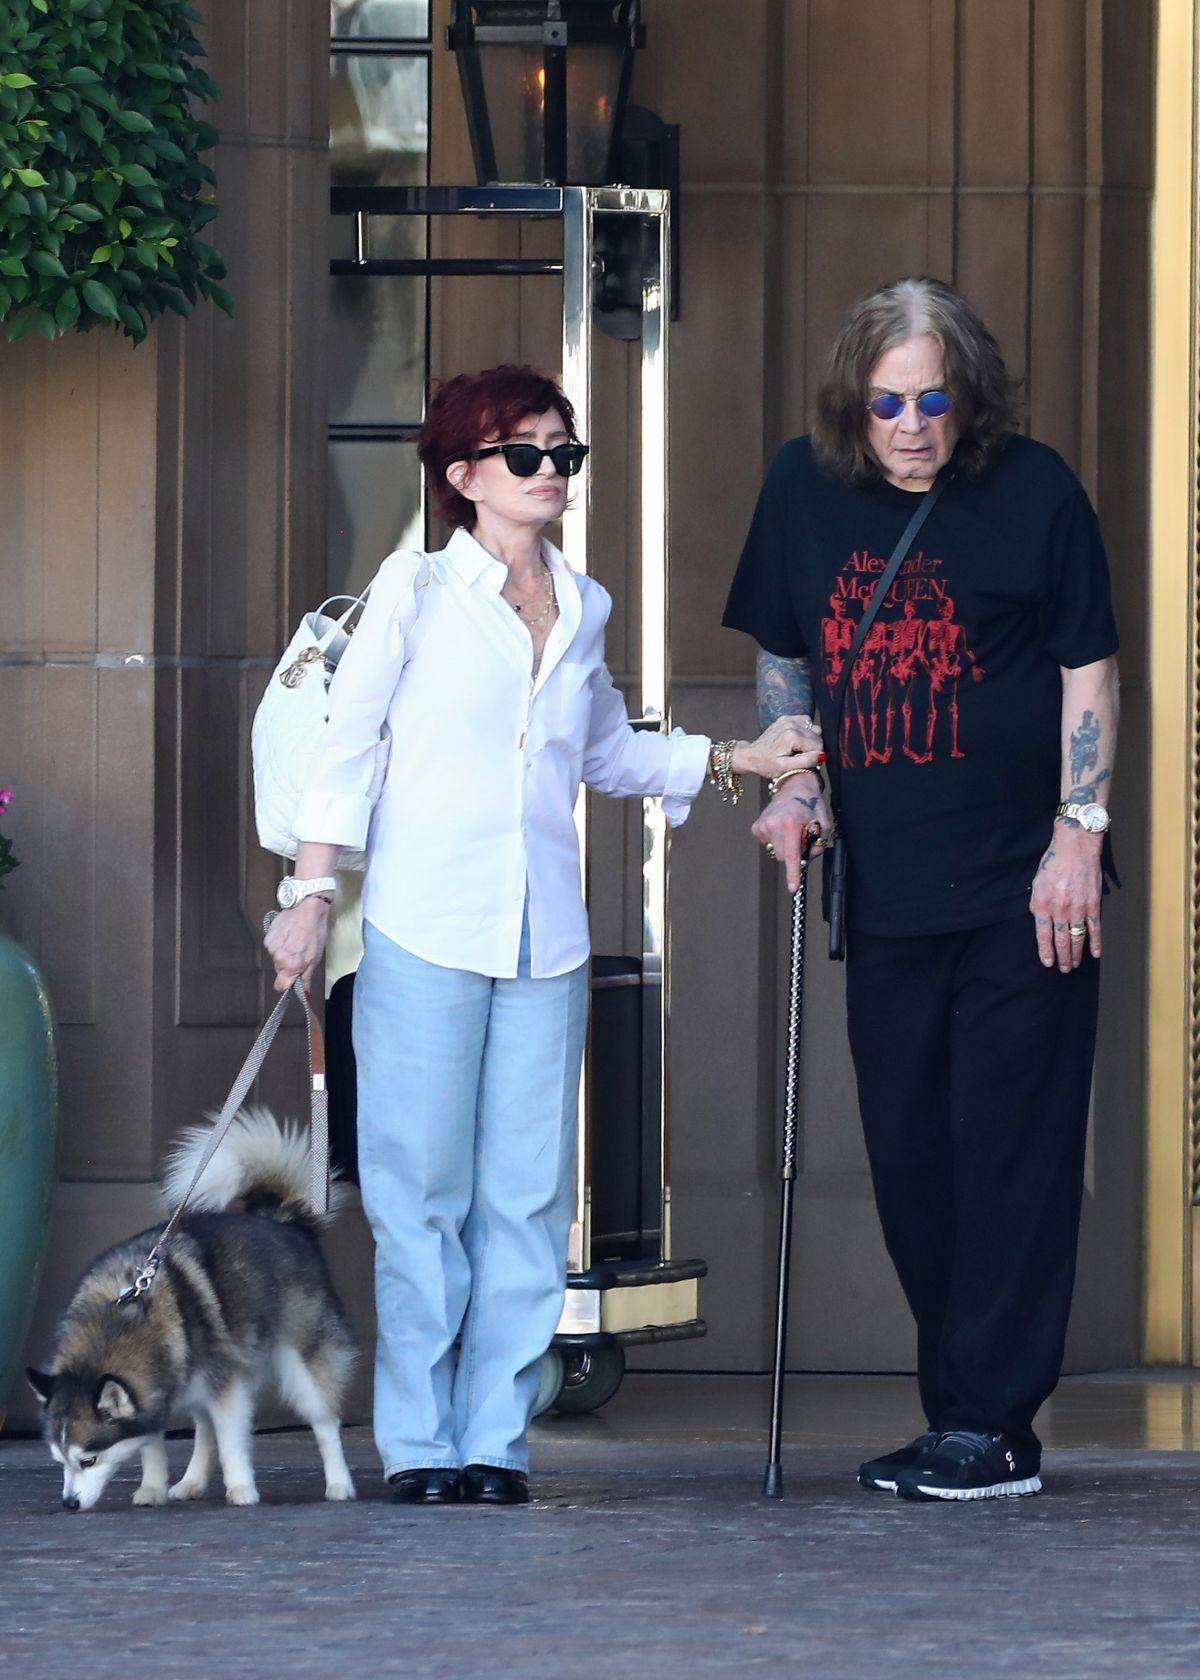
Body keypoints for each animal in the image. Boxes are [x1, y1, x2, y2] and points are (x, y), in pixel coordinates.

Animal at [26, 1108, 354, 1518]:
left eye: (88, 1460)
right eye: (59, 1461)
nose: (69, 1503)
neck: (124, 1318)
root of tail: (282, 1220)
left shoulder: (226, 1389)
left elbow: (231, 1442)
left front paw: (241, 1488)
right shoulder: (157, 1391)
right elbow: (154, 1446)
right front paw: (152, 1488)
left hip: (301, 1367)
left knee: (324, 1421)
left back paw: (339, 1483)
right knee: (205, 1429)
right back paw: (192, 1482)